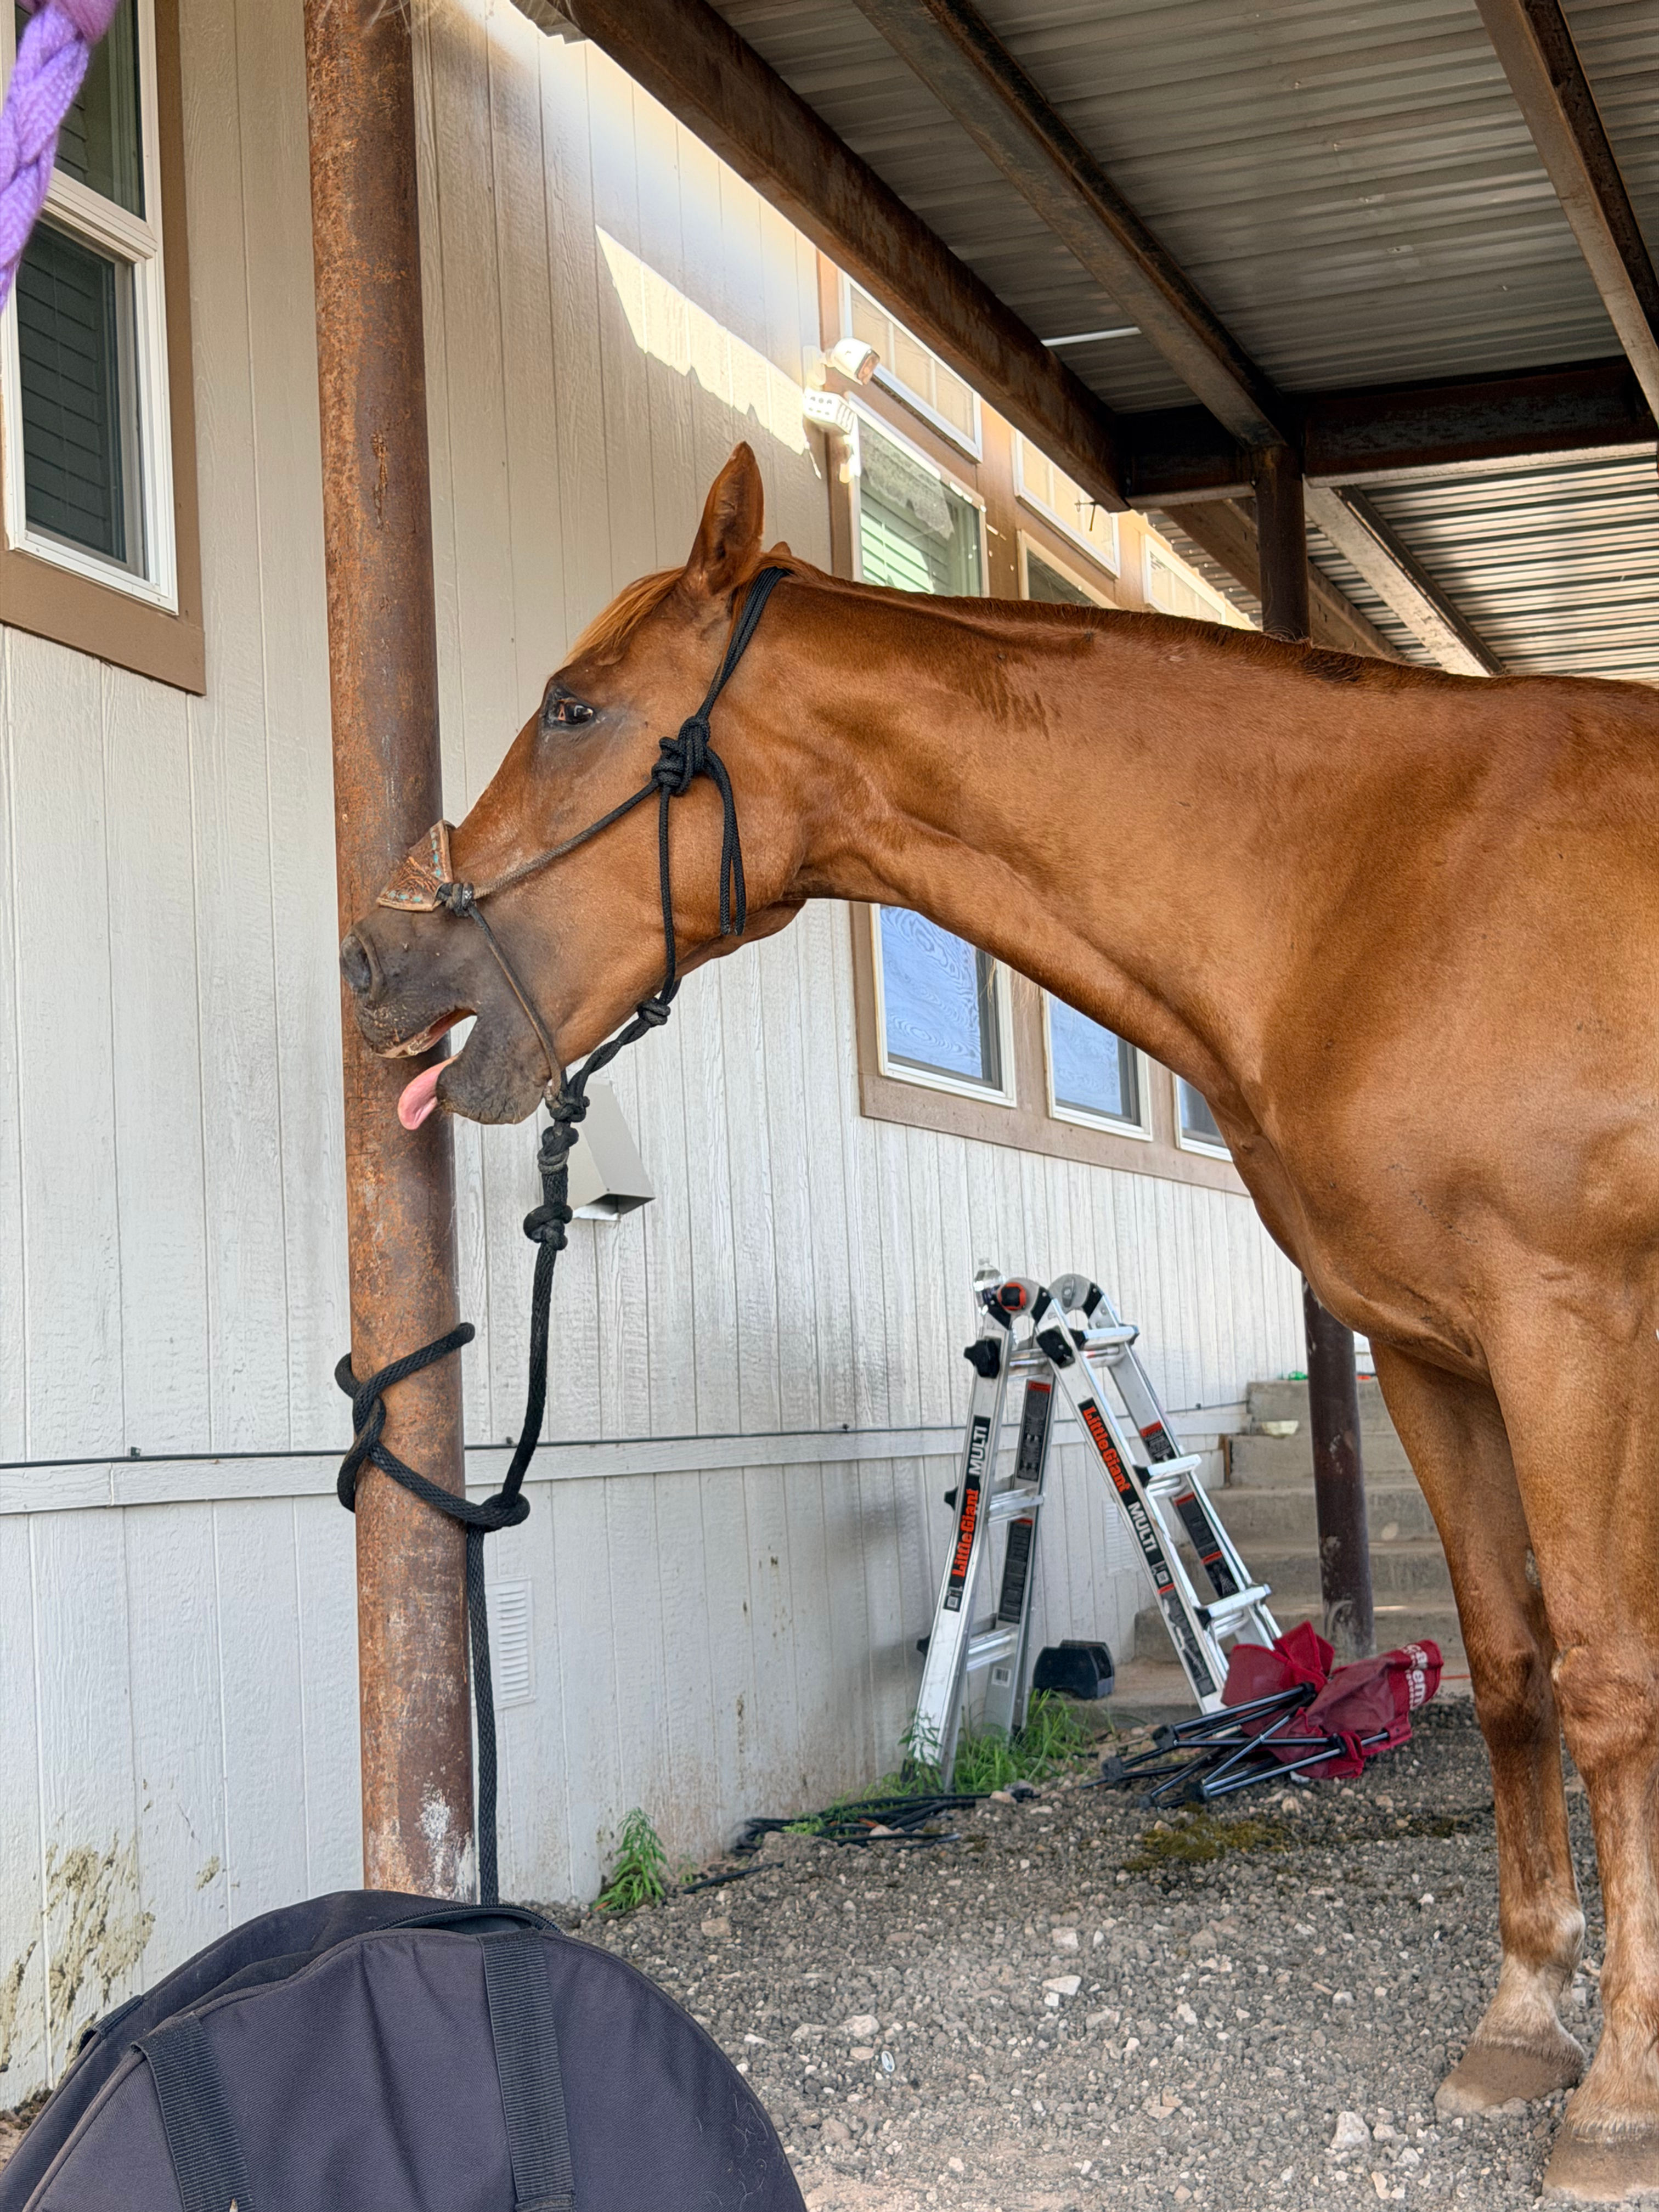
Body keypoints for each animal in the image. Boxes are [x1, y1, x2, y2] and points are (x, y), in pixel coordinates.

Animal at [341, 442, 1659, 2202]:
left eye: (571, 707)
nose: (376, 957)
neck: (1386, 884)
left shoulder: (1571, 1332)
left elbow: (1607, 1682)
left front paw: (1622, 2101)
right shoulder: (1437, 1357)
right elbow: (1515, 1670)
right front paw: (1521, 2029)